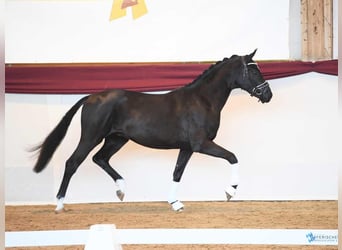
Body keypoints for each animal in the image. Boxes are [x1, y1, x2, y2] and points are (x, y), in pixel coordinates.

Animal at [32, 49, 272, 212]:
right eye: (253, 70)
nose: (268, 95)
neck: (202, 101)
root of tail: (91, 97)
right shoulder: (201, 144)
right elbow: (232, 157)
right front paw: (230, 192)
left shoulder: (187, 148)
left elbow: (177, 172)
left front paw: (175, 203)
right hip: (91, 137)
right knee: (73, 163)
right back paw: (60, 205)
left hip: (116, 139)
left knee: (100, 159)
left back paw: (121, 190)